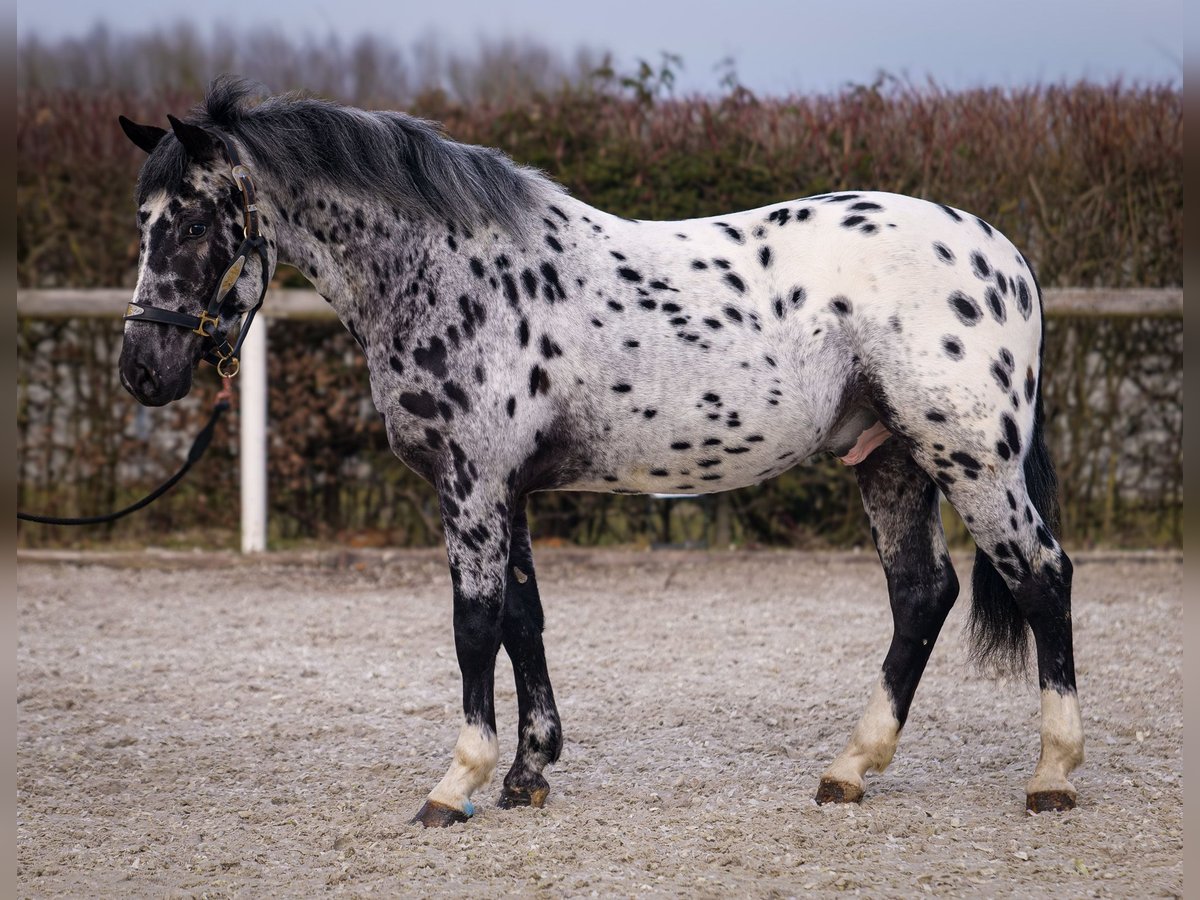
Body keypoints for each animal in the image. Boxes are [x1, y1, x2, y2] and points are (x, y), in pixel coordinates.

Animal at [114, 79, 1089, 830]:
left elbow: (474, 627)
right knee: (921, 595)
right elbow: (523, 620)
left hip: (970, 459)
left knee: (1041, 576)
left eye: (194, 222)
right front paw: (527, 773)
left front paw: (457, 783)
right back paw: (851, 768)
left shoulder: (472, 484)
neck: (451, 272)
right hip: (890, 460)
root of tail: (1003, 255)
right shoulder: (506, 491)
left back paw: (1051, 775)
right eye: (143, 221)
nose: (143, 369)